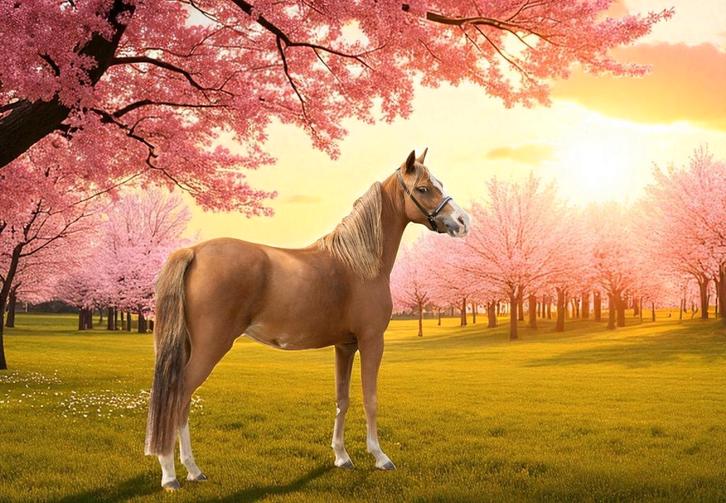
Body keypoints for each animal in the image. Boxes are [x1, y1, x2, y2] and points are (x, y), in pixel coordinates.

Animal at [145, 148, 470, 491]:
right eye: (423, 188)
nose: (462, 221)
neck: (359, 262)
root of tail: (193, 252)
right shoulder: (371, 341)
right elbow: (370, 398)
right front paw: (380, 457)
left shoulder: (345, 346)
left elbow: (343, 399)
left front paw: (342, 457)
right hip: (211, 346)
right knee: (178, 396)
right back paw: (171, 475)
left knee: (179, 402)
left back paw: (193, 470)